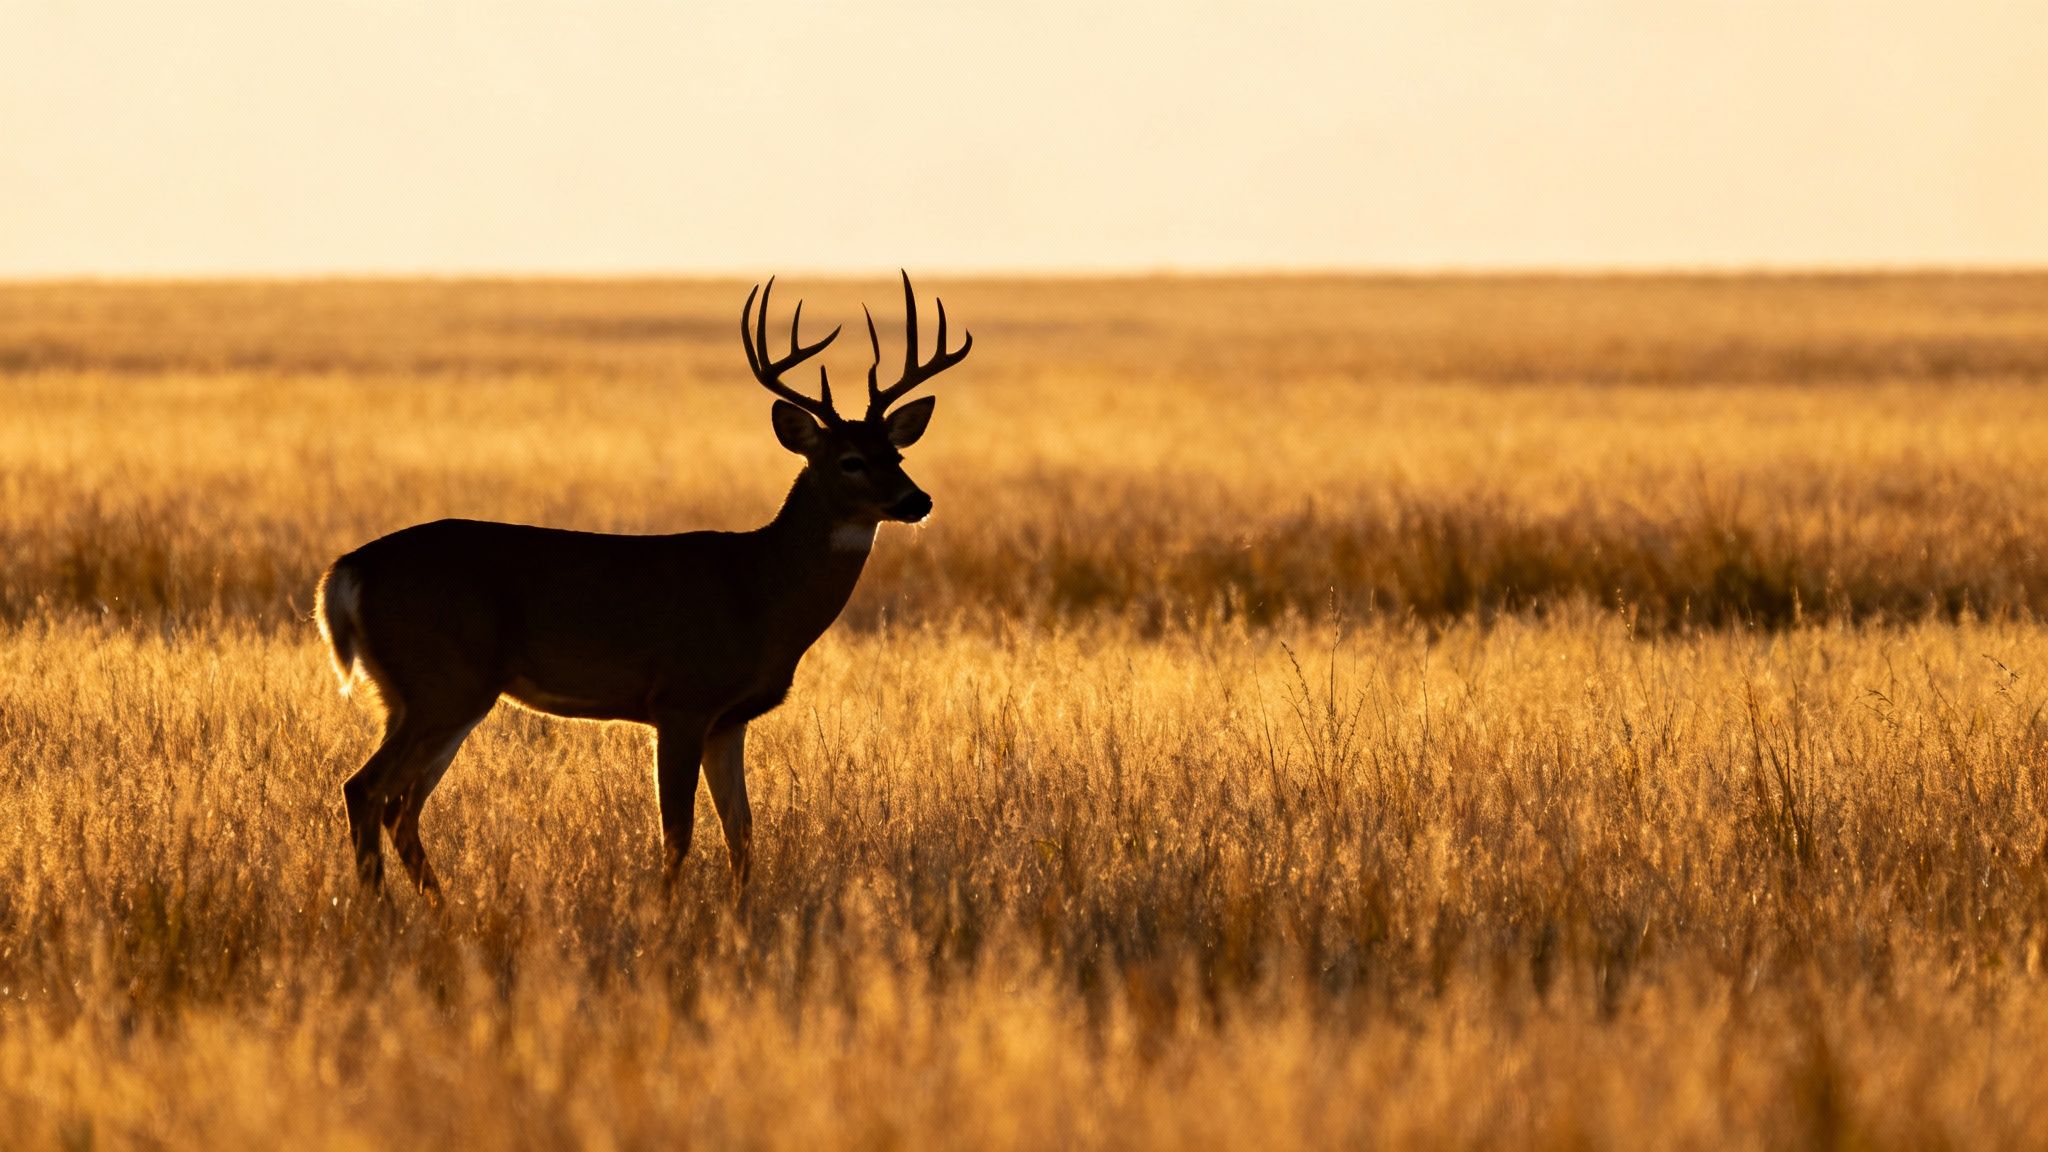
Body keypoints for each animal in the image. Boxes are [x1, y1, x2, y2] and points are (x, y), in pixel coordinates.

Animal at [315, 272, 970, 897]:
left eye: (897, 454)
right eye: (850, 461)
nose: (918, 501)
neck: (760, 591)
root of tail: (347, 569)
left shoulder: (729, 719)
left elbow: (742, 832)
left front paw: (738, 917)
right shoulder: (681, 699)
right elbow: (677, 831)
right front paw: (665, 917)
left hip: (416, 694)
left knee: (397, 806)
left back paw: (439, 911)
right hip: (443, 682)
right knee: (366, 790)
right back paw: (385, 915)